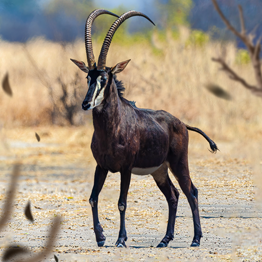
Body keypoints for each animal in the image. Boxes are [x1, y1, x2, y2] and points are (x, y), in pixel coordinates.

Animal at [70, 9, 218, 248]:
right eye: (88, 77)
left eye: (104, 77)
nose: (86, 103)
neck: (112, 129)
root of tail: (181, 123)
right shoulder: (101, 166)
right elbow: (93, 198)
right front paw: (100, 238)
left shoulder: (126, 168)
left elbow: (122, 202)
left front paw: (121, 239)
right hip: (160, 170)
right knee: (173, 195)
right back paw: (165, 240)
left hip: (178, 163)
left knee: (191, 192)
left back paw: (196, 239)